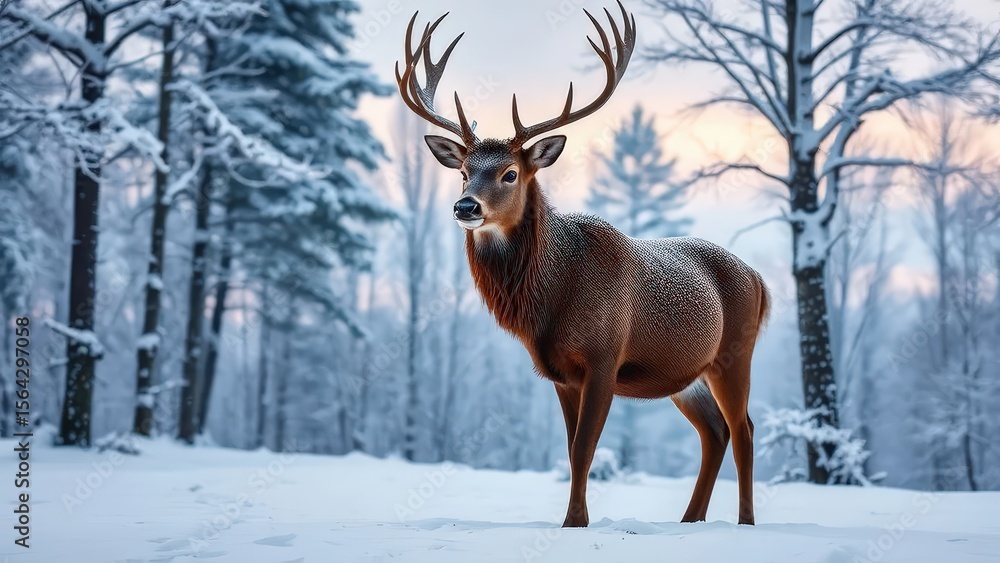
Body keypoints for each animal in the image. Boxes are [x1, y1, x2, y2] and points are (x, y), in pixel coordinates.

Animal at [396, 1, 769, 528]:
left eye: (511, 173)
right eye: (465, 171)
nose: (465, 206)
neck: (552, 298)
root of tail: (760, 280)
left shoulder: (604, 356)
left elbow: (584, 449)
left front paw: (574, 523)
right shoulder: (559, 372)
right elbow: (572, 450)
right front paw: (577, 520)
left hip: (736, 352)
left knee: (744, 430)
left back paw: (745, 523)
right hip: (688, 376)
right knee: (714, 432)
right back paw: (689, 520)